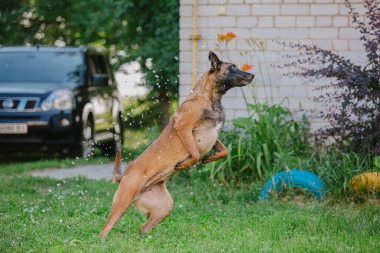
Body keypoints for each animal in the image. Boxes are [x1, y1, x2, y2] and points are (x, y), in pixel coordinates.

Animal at [99, 51, 254, 237]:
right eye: (233, 68)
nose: (252, 75)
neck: (211, 99)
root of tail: (123, 176)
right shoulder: (184, 128)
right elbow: (195, 155)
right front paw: (183, 164)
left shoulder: (213, 137)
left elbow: (224, 151)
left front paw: (209, 159)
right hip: (123, 202)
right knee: (105, 229)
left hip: (164, 207)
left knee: (143, 229)